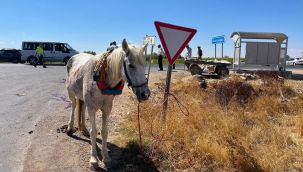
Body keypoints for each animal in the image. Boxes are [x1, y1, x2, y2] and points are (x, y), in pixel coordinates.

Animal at [67, 39, 151, 169]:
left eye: (145, 65)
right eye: (131, 65)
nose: (145, 94)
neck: (100, 77)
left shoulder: (107, 109)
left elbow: (104, 132)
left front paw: (106, 157)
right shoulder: (92, 109)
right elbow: (93, 132)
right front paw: (93, 159)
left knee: (82, 107)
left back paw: (83, 128)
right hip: (71, 92)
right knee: (74, 105)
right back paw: (70, 127)